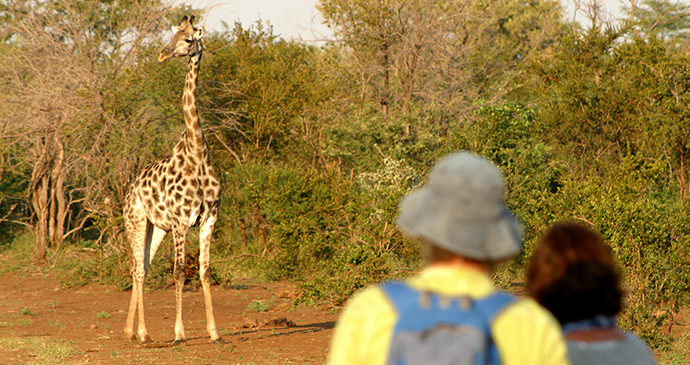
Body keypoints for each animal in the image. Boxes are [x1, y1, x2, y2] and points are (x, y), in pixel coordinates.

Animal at [122, 14, 220, 344]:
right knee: (138, 269)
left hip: (157, 228)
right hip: (136, 221)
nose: (163, 54)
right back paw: (142, 333)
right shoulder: (181, 221)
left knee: (142, 266)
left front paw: (215, 332)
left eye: (188, 39)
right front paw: (179, 334)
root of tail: (129, 189)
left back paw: (130, 330)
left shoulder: (209, 218)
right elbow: (179, 273)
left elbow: (203, 272)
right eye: (172, 35)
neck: (198, 154)